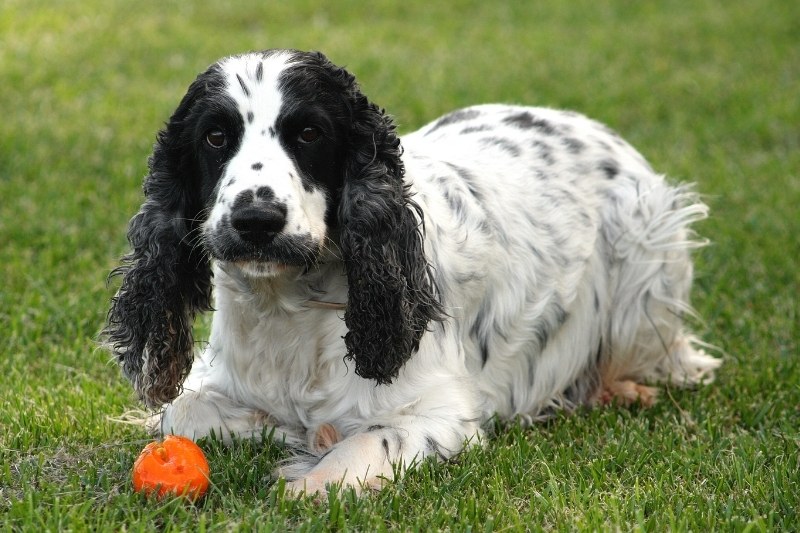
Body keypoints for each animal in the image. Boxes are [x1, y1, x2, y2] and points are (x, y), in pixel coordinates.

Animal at [103, 48, 720, 494]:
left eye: (310, 133)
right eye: (214, 136)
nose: (257, 218)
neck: (289, 308)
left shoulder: (444, 414)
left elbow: (363, 446)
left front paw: (310, 471)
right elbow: (181, 412)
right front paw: (275, 429)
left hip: (648, 248)